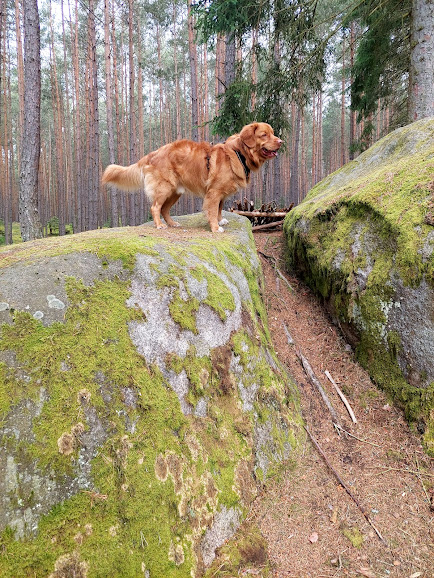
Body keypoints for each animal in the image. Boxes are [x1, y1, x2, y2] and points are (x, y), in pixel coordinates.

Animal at [103, 121, 284, 232]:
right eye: (264, 135)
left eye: (273, 133)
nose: (281, 142)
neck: (239, 153)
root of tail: (152, 154)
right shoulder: (214, 192)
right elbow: (212, 210)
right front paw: (215, 227)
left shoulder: (221, 194)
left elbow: (219, 208)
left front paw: (220, 220)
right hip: (164, 188)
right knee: (155, 207)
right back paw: (160, 225)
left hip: (175, 192)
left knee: (164, 209)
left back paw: (172, 223)